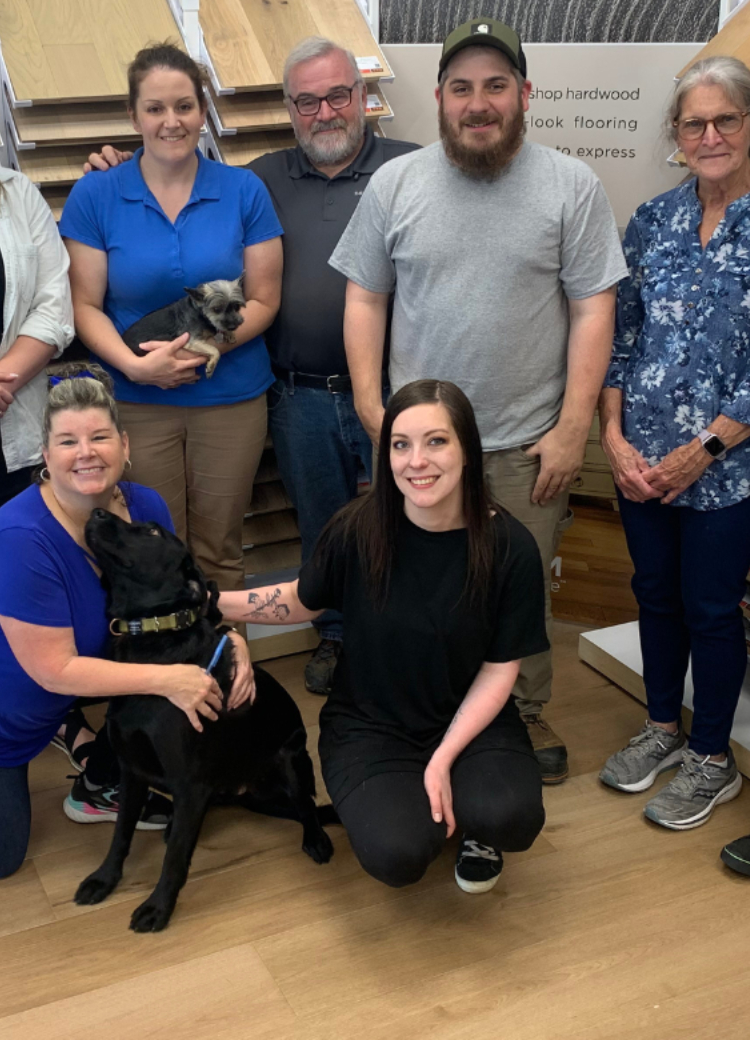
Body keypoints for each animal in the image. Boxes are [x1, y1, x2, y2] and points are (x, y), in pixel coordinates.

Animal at [75, 511, 332, 935]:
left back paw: (317, 839)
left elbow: (176, 857)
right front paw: (104, 879)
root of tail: (244, 791)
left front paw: (158, 908)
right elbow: (120, 834)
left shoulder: (188, 782)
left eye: (151, 531)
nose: (96, 512)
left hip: (290, 759)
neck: (151, 645)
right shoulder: (132, 771)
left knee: (306, 805)